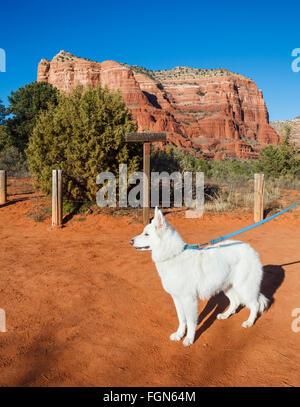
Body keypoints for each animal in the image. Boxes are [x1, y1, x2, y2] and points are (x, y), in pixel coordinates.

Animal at [130, 207, 268, 348]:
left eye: (146, 234)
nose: (131, 241)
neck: (174, 255)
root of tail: (250, 249)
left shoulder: (189, 299)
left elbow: (191, 321)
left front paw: (189, 339)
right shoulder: (177, 298)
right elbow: (182, 319)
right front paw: (179, 334)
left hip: (244, 287)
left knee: (255, 305)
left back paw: (249, 322)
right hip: (227, 287)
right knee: (236, 302)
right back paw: (225, 315)